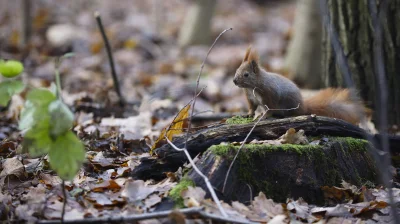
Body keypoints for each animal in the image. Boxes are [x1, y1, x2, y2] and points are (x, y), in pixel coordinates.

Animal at [234, 46, 368, 124]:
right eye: (236, 70)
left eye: (246, 75)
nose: (234, 81)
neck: (251, 88)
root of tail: (303, 106)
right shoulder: (251, 98)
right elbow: (252, 107)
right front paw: (248, 114)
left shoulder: (269, 95)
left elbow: (269, 108)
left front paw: (263, 116)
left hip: (290, 104)